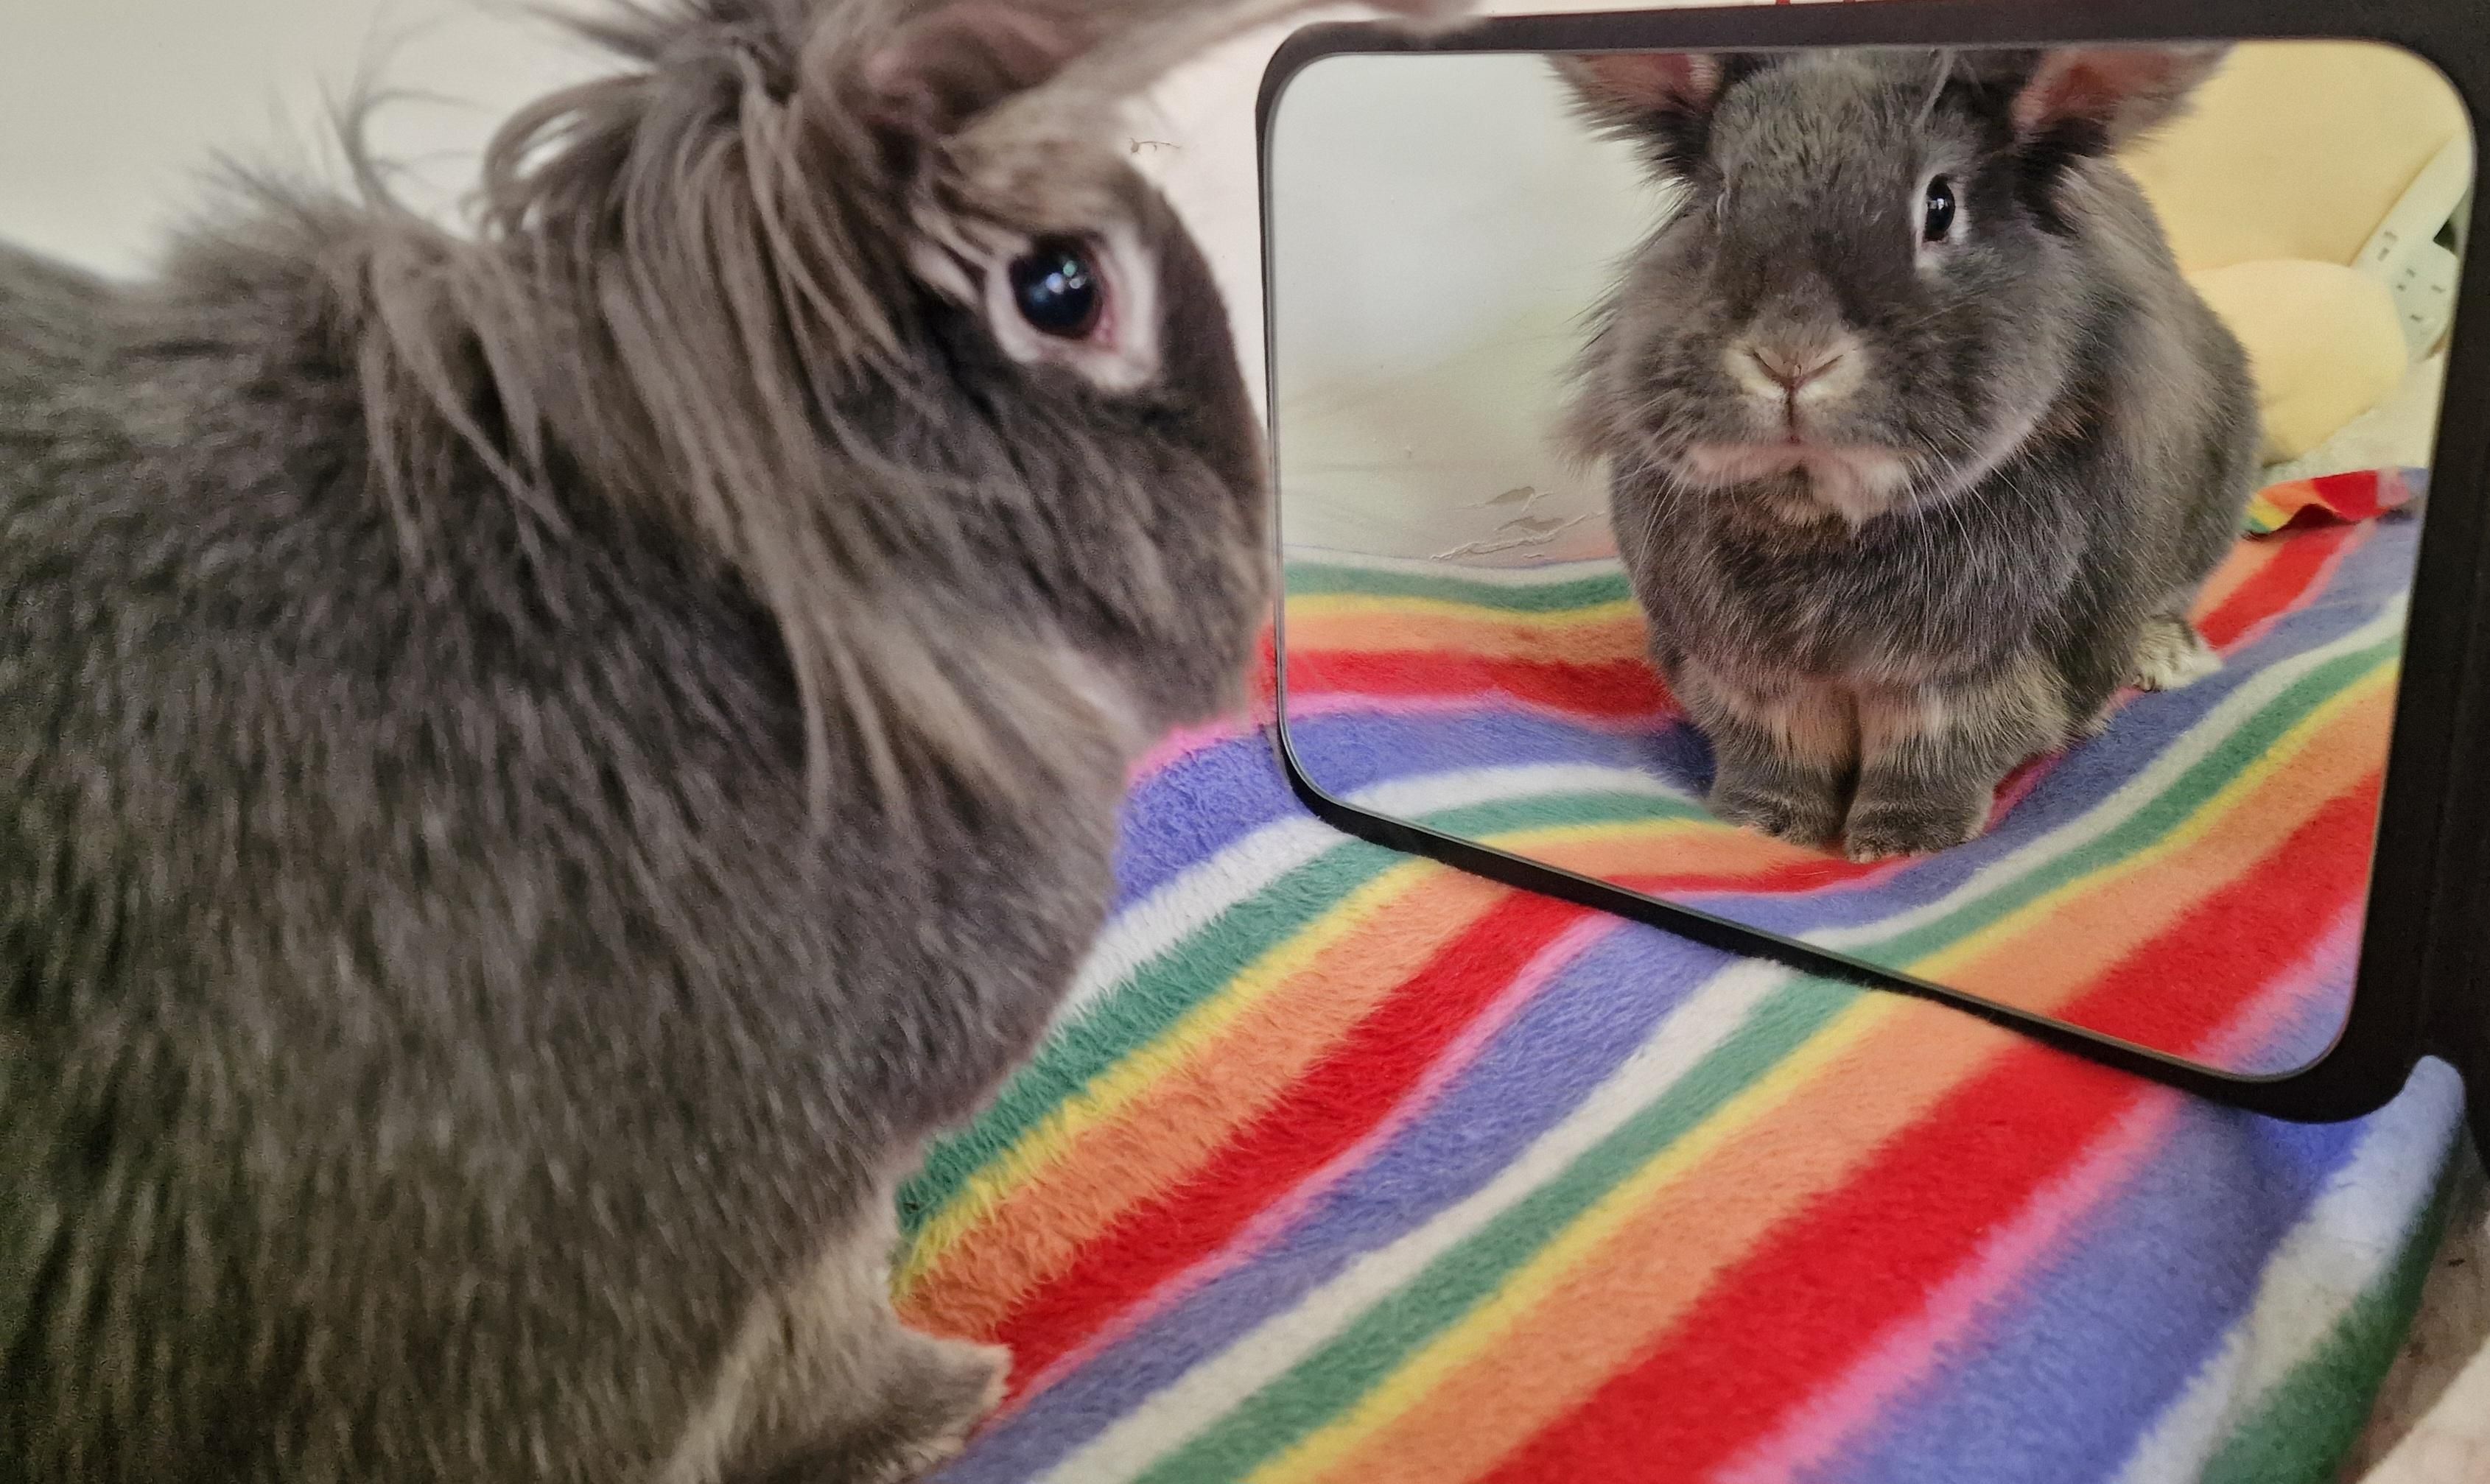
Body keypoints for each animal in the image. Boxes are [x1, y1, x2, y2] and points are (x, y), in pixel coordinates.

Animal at [1559, 46, 2259, 861]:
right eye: (1721, 197)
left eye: (1940, 207)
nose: (1791, 356)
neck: (1819, 518)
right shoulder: (1745, 677)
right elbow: (1775, 754)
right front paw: (1764, 825)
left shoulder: (1971, 677)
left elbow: (1933, 759)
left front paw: (1900, 842)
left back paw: (2164, 655)